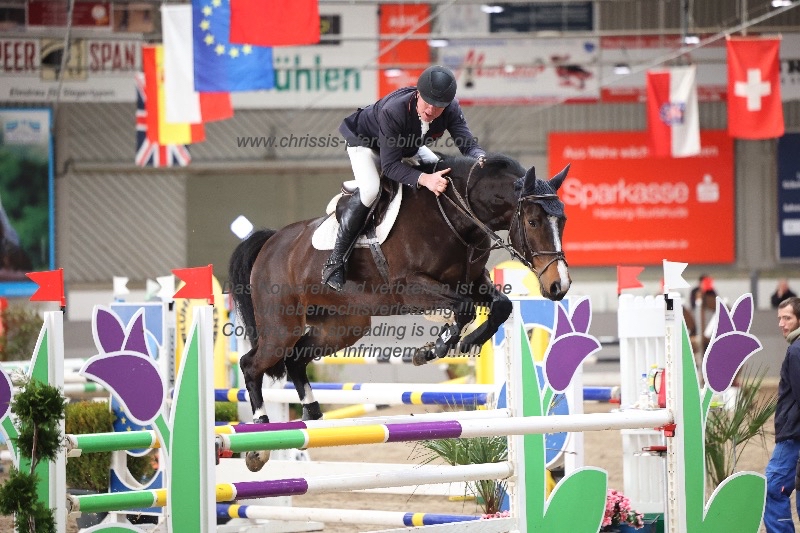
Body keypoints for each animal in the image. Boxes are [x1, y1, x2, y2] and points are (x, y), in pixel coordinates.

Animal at [228, 153, 572, 470]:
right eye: (533, 222)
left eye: (564, 221)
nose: (560, 286)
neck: (456, 215)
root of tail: (271, 241)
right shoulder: (411, 287)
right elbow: (463, 309)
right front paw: (436, 347)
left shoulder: (473, 283)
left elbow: (500, 306)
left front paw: (464, 342)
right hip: (282, 326)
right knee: (252, 364)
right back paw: (259, 440)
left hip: (344, 326)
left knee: (296, 359)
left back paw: (313, 415)